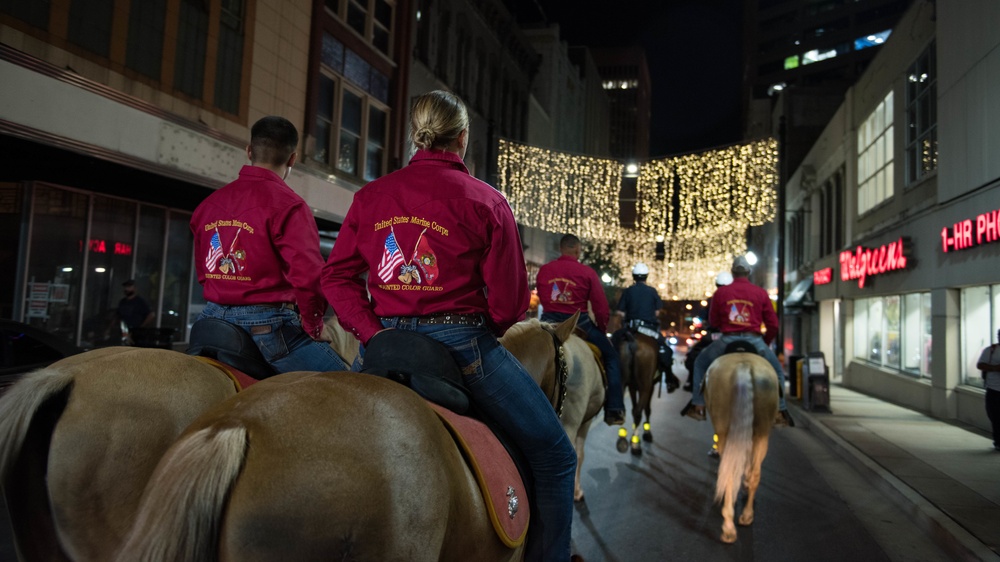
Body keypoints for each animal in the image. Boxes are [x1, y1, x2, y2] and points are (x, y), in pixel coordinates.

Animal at [704, 348, 780, 540]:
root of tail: (743, 365)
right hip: (762, 433)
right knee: (754, 473)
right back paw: (746, 515)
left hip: (725, 430)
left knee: (729, 471)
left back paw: (728, 526)